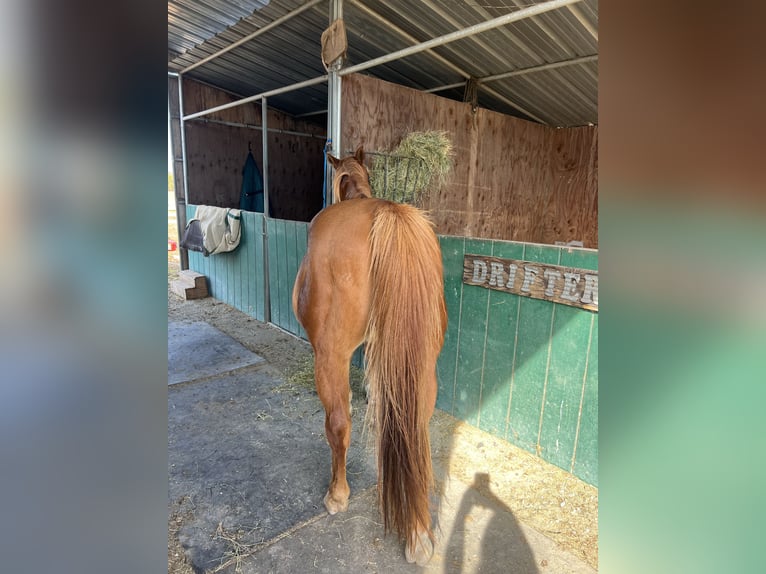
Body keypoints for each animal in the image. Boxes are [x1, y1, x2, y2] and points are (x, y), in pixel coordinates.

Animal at [292, 146, 447, 565]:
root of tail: (388, 214)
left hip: (330, 357)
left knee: (338, 424)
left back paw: (337, 494)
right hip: (422, 363)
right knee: (414, 423)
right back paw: (417, 532)